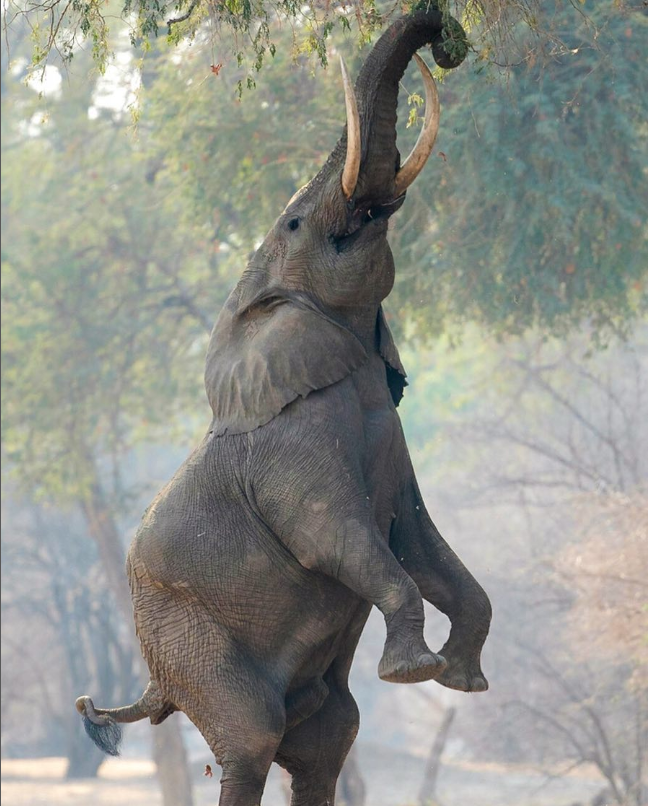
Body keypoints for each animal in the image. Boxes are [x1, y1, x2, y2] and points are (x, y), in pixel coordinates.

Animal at [76, 7, 492, 806]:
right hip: (185, 636)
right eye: (296, 223)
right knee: (250, 734)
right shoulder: (290, 454)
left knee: (327, 740)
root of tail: (151, 682)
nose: (447, 37)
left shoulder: (392, 447)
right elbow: (340, 538)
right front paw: (414, 673)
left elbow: (416, 539)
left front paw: (463, 680)